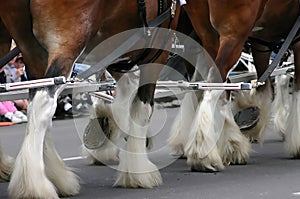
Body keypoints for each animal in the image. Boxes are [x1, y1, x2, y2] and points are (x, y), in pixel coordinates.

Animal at [0, 0, 179, 198]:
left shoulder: (116, 51)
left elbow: (124, 93)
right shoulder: (157, 52)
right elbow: (141, 108)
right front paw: (139, 172)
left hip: (32, 51)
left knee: (37, 105)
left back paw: (56, 177)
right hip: (68, 43)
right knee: (43, 104)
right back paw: (35, 186)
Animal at [168, 0, 298, 171]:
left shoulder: (262, 38)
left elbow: (266, 86)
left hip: (208, 35)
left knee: (210, 85)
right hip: (234, 34)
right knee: (213, 84)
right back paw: (206, 152)